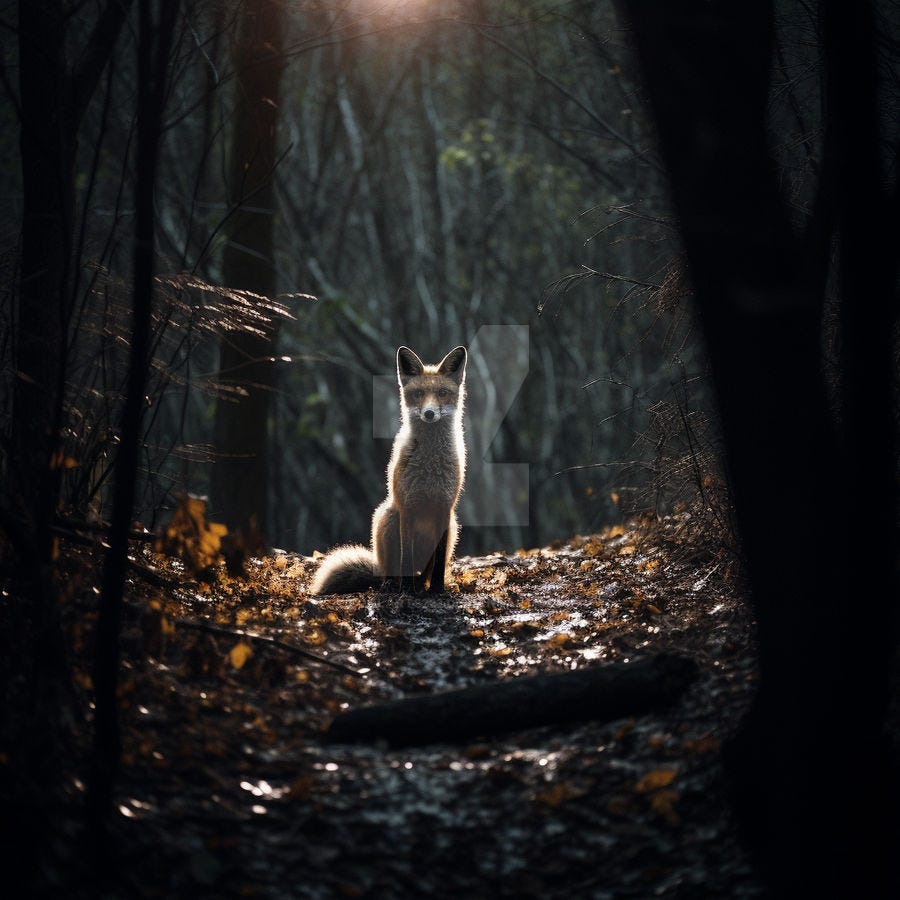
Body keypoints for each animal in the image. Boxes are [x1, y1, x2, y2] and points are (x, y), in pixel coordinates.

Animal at [309, 345, 467, 595]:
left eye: (442, 392)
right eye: (418, 394)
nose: (429, 413)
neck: (430, 466)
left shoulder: (444, 509)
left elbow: (440, 562)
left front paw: (438, 590)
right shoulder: (407, 508)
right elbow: (406, 557)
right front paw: (407, 591)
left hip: (452, 527)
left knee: (424, 573)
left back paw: (421, 587)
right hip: (388, 515)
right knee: (393, 571)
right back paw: (396, 585)